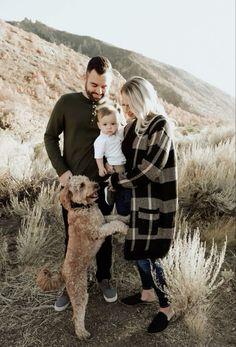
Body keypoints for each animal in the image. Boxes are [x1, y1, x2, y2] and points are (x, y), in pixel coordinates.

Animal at [36, 175, 129, 342]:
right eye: (81, 185)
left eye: (88, 179)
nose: (97, 185)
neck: (83, 208)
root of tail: (63, 273)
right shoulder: (97, 231)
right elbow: (114, 223)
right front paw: (125, 228)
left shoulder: (103, 219)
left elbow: (114, 216)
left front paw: (127, 217)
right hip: (79, 290)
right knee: (77, 315)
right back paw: (82, 333)